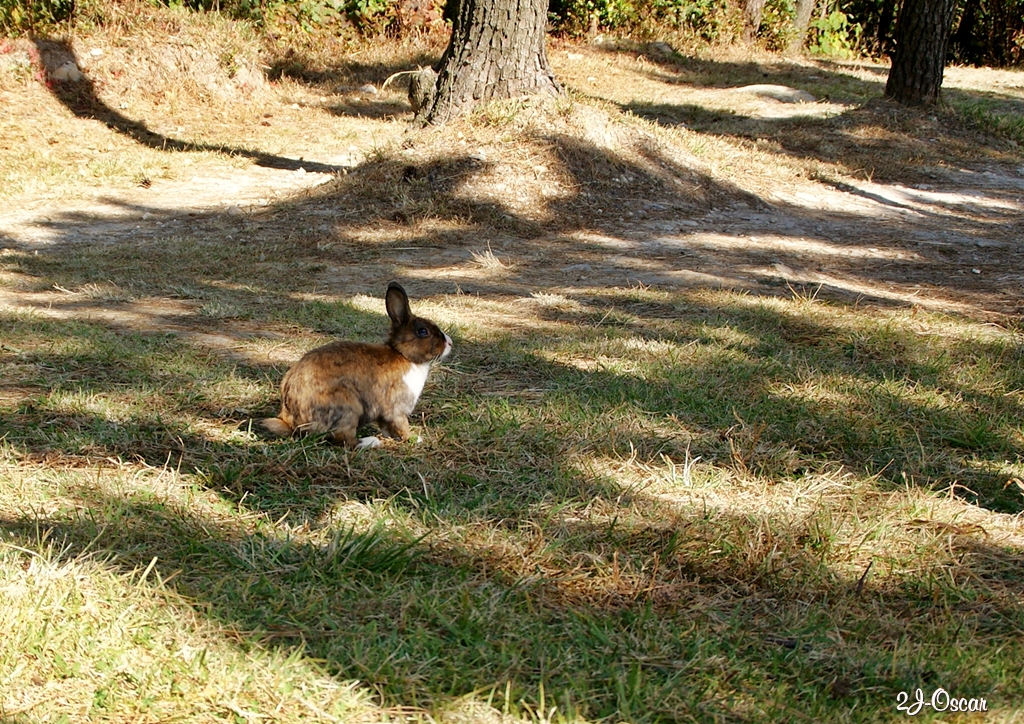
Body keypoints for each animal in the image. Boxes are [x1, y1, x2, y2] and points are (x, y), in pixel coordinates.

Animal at [260, 282, 452, 446]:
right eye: (422, 331)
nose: (449, 343)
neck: (403, 355)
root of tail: (291, 422)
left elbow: (386, 426)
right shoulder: (396, 409)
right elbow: (401, 425)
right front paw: (415, 439)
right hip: (349, 407)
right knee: (345, 440)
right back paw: (371, 442)